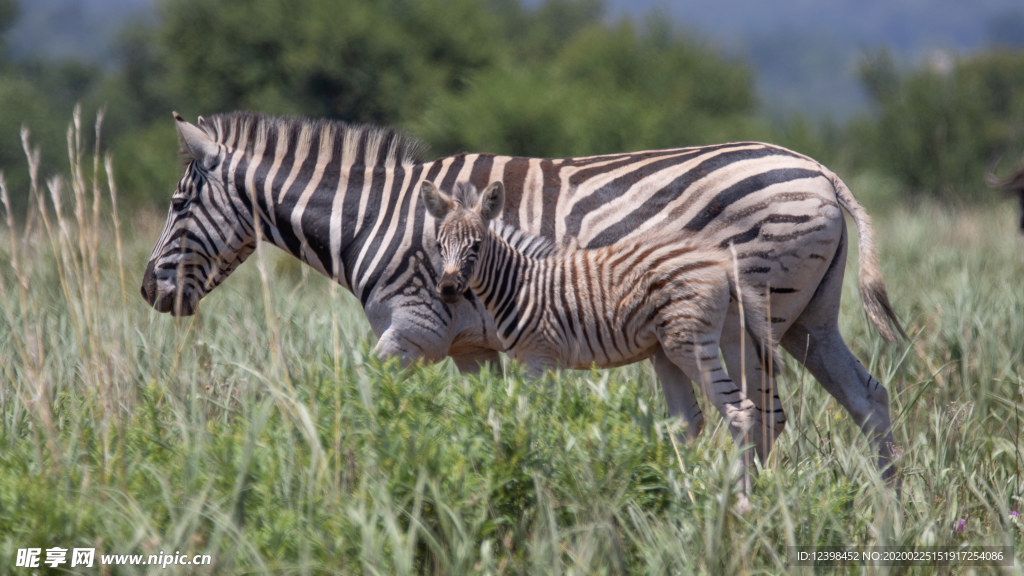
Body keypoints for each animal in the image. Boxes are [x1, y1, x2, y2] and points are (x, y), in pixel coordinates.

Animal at [142, 109, 905, 477]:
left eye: (178, 204)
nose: (148, 291)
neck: (377, 220)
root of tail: (818, 169)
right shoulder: (470, 346)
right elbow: (489, 418)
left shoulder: (412, 328)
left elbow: (355, 399)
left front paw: (339, 468)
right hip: (810, 319)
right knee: (867, 398)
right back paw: (883, 511)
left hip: (754, 316)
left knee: (766, 415)